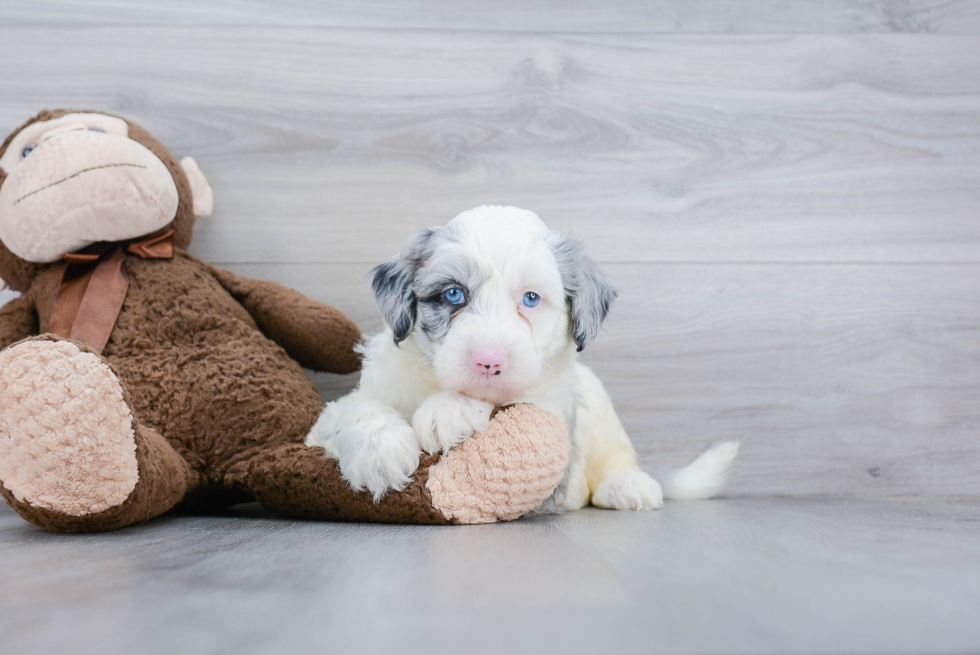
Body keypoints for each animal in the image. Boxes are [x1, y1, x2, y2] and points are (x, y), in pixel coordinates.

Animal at [306, 208, 736, 510]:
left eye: (530, 298)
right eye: (453, 294)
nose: (488, 360)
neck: (435, 382)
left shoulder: (550, 415)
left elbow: (510, 404)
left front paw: (450, 410)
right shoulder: (343, 408)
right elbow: (359, 409)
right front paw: (380, 455)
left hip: (599, 405)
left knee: (617, 456)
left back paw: (628, 486)